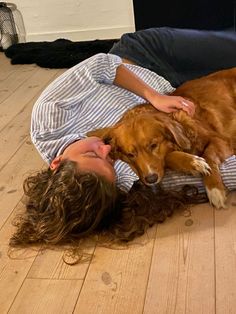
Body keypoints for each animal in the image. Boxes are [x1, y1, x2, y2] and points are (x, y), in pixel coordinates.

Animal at [88, 67, 236, 209]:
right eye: (130, 155)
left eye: (153, 145)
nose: (151, 179)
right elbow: (168, 157)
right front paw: (193, 163)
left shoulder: (221, 140)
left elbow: (208, 155)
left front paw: (214, 189)